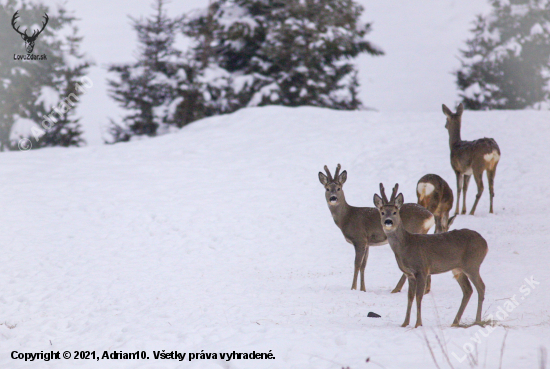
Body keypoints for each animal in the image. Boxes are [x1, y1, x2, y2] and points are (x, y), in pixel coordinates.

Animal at [322, 164, 438, 294]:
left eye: (338, 188)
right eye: (327, 188)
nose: (333, 198)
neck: (347, 217)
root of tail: (430, 216)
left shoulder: (359, 239)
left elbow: (357, 264)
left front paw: (353, 288)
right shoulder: (367, 242)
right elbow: (363, 265)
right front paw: (363, 289)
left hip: (414, 231)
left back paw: (398, 289)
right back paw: (426, 289)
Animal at [376, 183, 488, 326]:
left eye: (395, 212)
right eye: (382, 212)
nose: (388, 221)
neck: (406, 245)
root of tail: (485, 244)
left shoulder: (422, 269)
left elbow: (418, 297)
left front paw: (418, 324)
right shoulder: (410, 274)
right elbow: (410, 297)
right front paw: (405, 323)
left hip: (472, 264)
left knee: (481, 287)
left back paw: (477, 321)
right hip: (458, 268)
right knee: (468, 290)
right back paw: (455, 322)